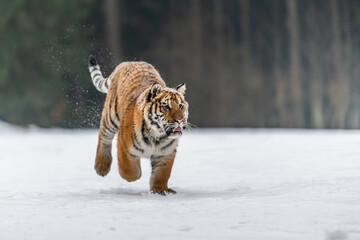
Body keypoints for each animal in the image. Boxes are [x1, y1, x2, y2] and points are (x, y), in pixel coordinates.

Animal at [88, 54, 188, 195]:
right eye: (166, 106)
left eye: (180, 106)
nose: (180, 120)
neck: (157, 135)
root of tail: (128, 62)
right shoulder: (124, 145)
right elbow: (129, 171)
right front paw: (137, 175)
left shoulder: (166, 153)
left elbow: (162, 174)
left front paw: (160, 190)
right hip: (111, 116)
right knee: (104, 136)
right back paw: (101, 166)